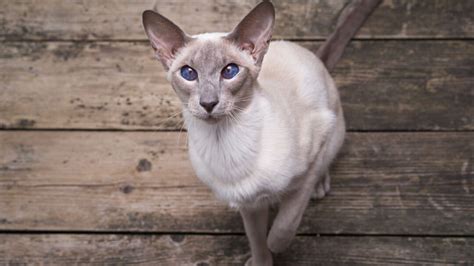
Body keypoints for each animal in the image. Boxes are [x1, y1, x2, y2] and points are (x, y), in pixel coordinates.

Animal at [141, 0, 378, 264]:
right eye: (188, 73)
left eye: (230, 71)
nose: (208, 103)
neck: (224, 142)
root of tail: (315, 57)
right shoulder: (249, 205)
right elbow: (256, 239)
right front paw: (261, 260)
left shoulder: (307, 168)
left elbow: (283, 227)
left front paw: (276, 246)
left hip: (333, 128)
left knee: (326, 161)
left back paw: (320, 187)